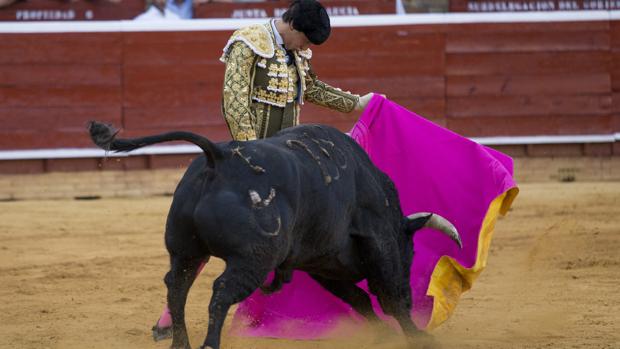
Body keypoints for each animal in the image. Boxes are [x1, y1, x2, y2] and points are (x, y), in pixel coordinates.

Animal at [87, 120, 460, 348]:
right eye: (410, 251)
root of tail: (220, 157)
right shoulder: (378, 240)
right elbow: (390, 295)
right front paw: (418, 337)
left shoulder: (320, 262)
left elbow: (358, 298)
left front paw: (383, 334)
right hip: (253, 258)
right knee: (220, 292)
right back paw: (208, 344)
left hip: (184, 249)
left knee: (177, 286)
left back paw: (181, 342)